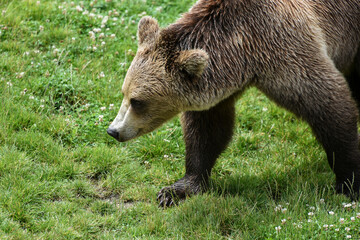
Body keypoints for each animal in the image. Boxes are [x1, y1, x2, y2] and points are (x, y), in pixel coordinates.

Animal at [107, 0, 360, 206]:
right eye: (124, 92)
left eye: (138, 101)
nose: (113, 130)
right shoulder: (220, 86)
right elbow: (208, 130)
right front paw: (176, 190)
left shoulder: (286, 48)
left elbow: (328, 103)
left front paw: (349, 183)